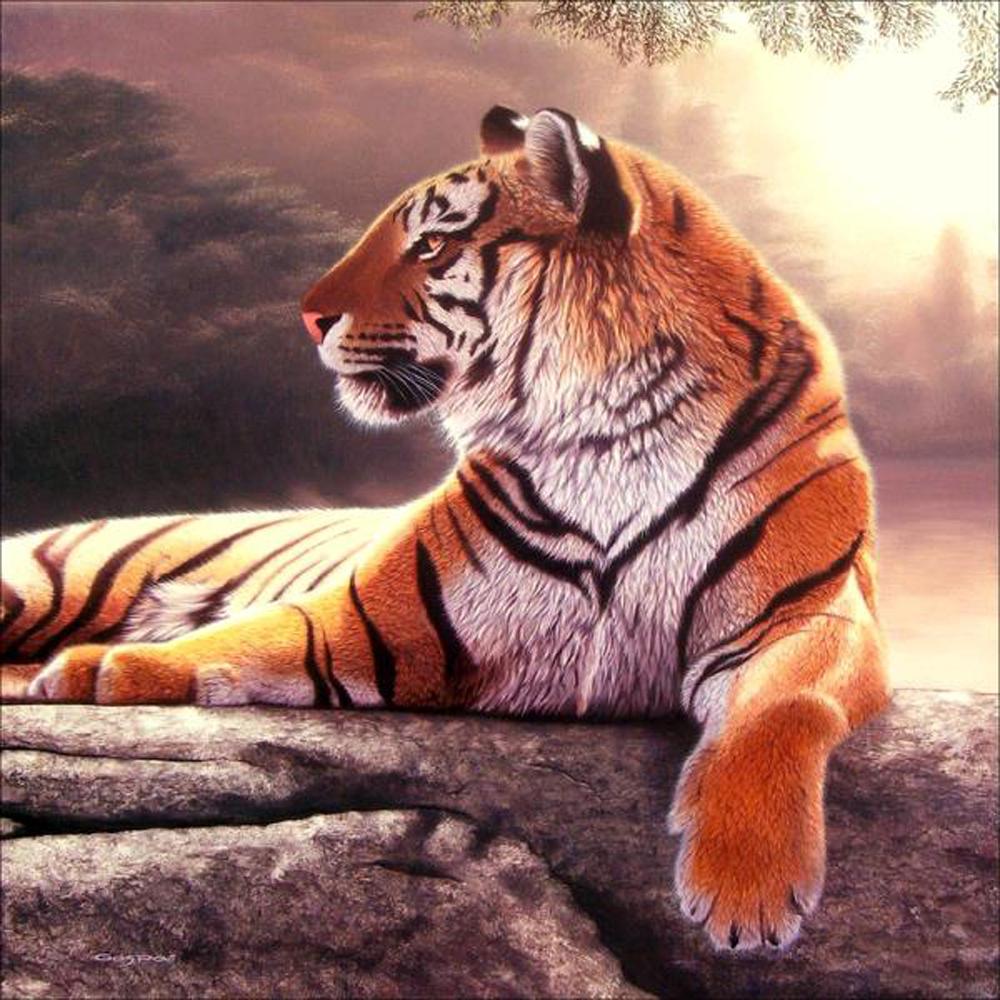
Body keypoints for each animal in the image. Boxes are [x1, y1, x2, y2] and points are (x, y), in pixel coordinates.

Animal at [0, 105, 890, 952]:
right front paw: (98, 668)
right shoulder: (361, 621)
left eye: (430, 244)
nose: (308, 318)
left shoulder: (810, 615)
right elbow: (230, 642)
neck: (607, 435)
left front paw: (748, 888)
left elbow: (781, 708)